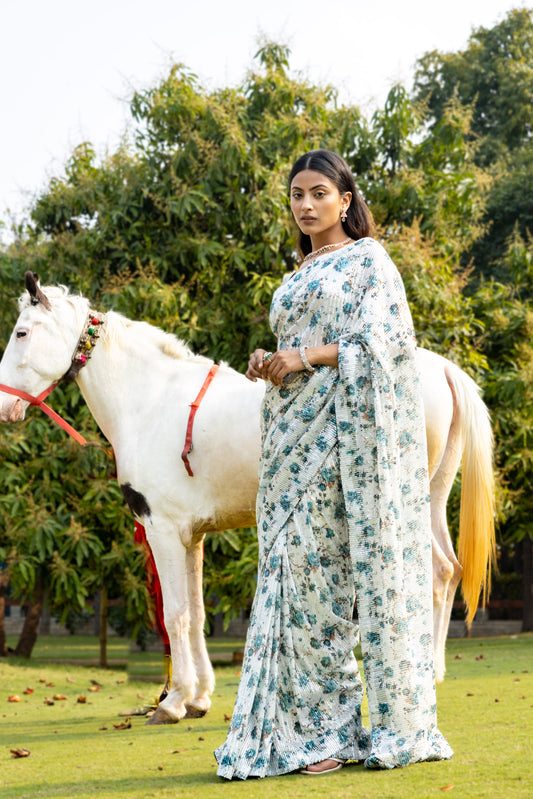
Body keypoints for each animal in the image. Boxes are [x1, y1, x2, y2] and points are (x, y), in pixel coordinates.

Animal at [0, 276, 494, 724]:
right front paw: (198, 698)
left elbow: (175, 616)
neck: (152, 403)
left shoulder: (163, 531)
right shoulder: (192, 537)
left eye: (21, 332)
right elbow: (197, 613)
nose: (4, 406)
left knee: (426, 574)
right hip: (431, 497)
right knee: (447, 570)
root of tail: (442, 369)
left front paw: (173, 702)